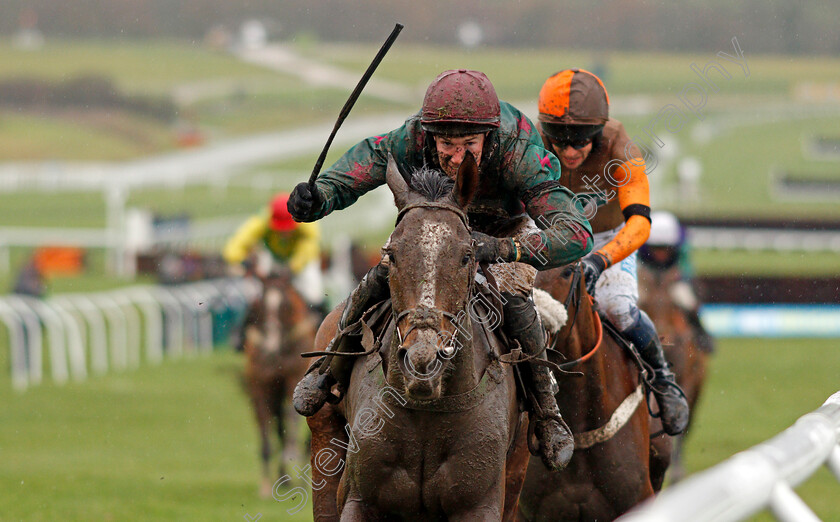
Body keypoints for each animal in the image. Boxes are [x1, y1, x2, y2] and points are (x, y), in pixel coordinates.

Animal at [244, 268, 320, 496]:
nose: (270, 343)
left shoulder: (293, 379)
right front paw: (264, 486)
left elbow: (291, 419)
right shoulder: (260, 385)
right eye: (261, 302)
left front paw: (290, 453)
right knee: (278, 427)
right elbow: (266, 426)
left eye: (285, 305)